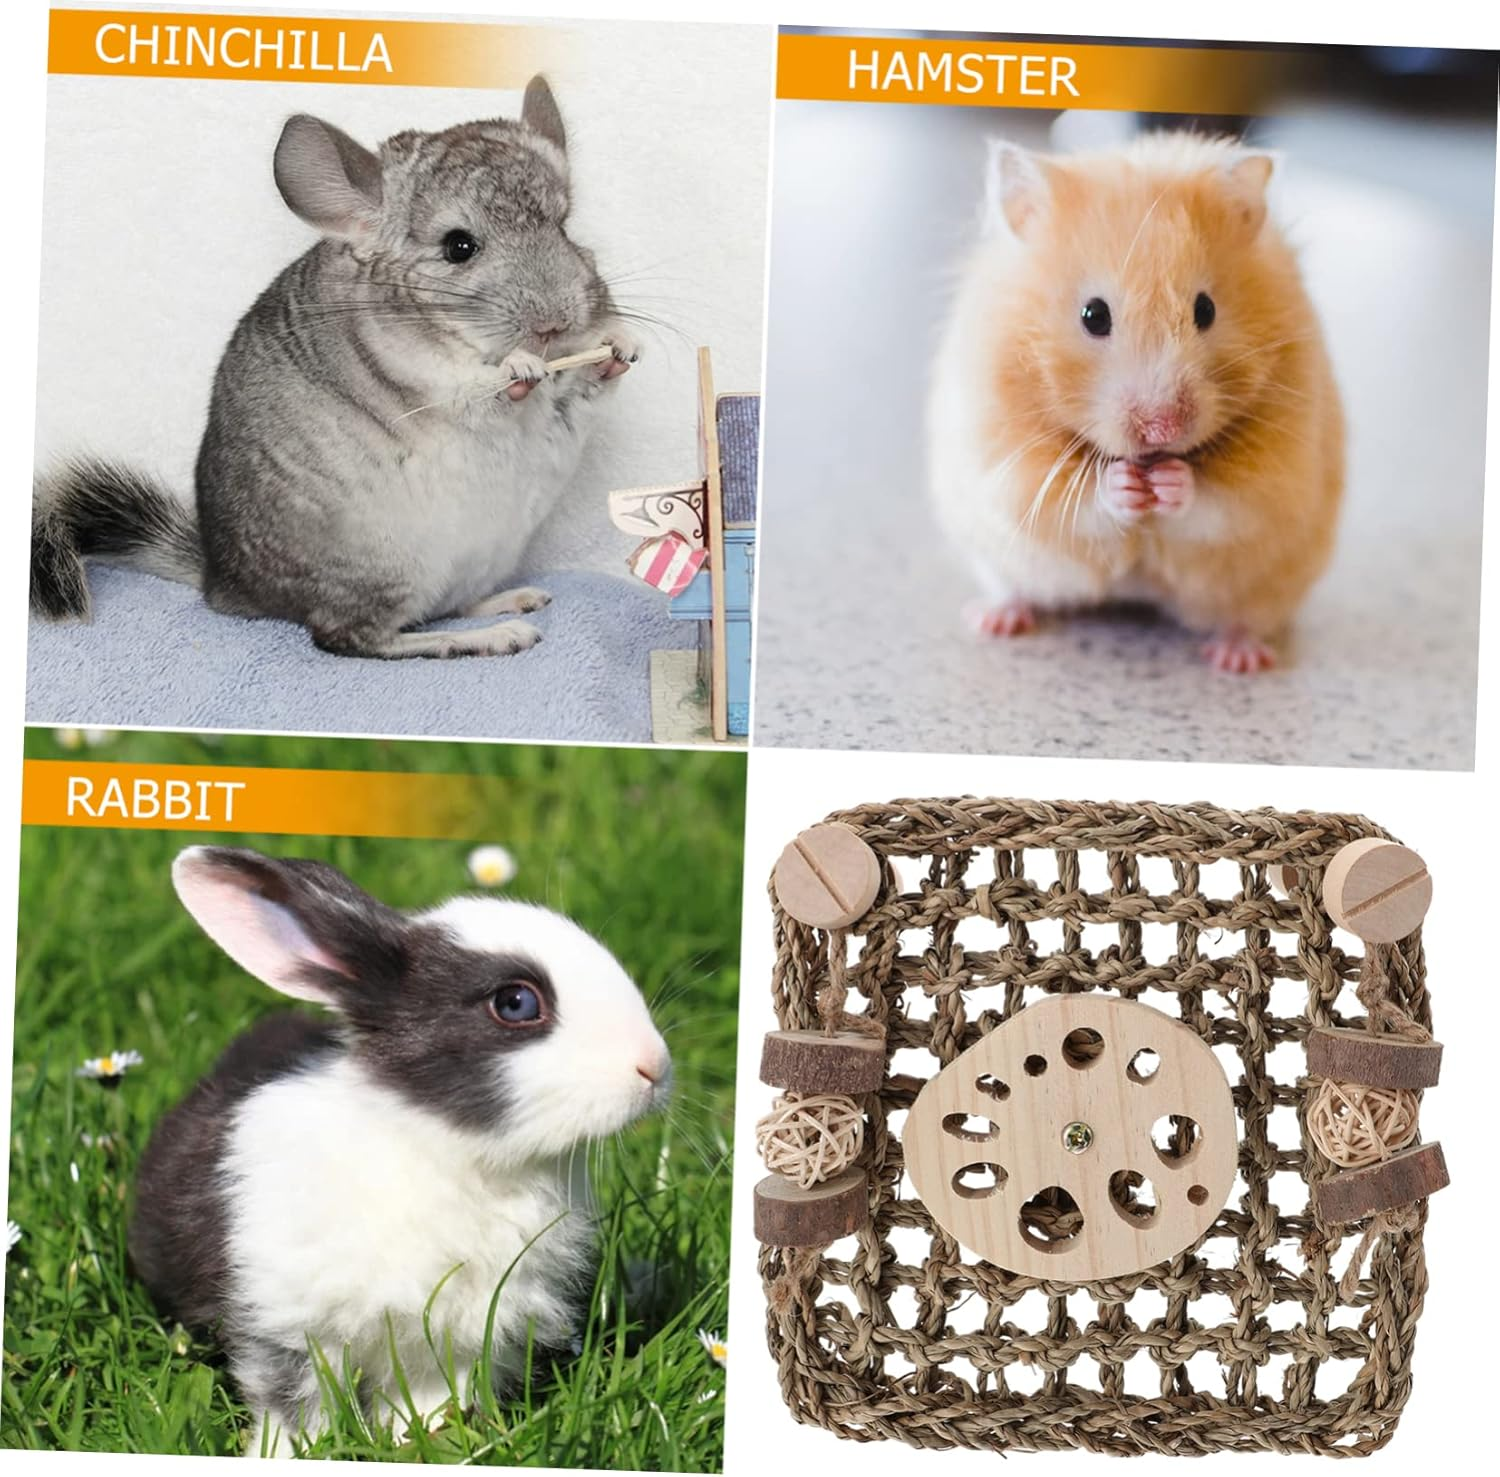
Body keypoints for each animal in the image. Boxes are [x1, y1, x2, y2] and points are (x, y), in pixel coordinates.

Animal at [32, 76, 641, 659]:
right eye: (459, 247)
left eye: (564, 226)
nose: (556, 322)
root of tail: (224, 586)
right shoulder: (421, 373)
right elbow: (474, 386)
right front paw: (519, 369)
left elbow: (584, 388)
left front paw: (619, 346)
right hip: (383, 565)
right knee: (350, 638)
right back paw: (496, 636)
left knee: (446, 606)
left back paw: (514, 599)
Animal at [127, 846, 672, 1457]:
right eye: (515, 1002)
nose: (655, 1066)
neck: (446, 1147)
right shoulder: (286, 1323)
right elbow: (293, 1404)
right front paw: (291, 1454)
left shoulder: (457, 1340)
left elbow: (435, 1396)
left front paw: (423, 1437)